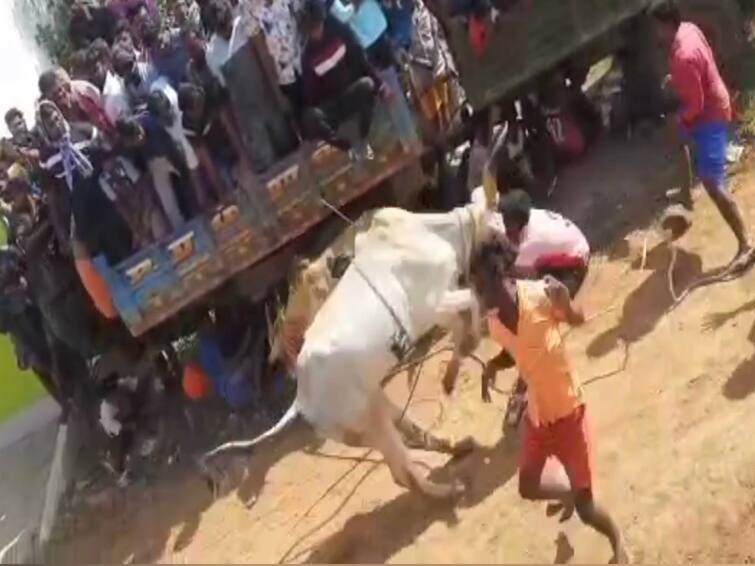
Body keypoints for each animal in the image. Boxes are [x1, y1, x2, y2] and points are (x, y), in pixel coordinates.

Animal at [207, 204, 494, 502]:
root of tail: (302, 400)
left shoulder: (439, 308)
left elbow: (465, 313)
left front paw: (454, 369)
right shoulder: (434, 304)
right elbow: (472, 300)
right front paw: (468, 346)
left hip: (370, 406)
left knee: (407, 442)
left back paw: (456, 446)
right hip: (370, 418)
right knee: (403, 472)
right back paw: (449, 489)